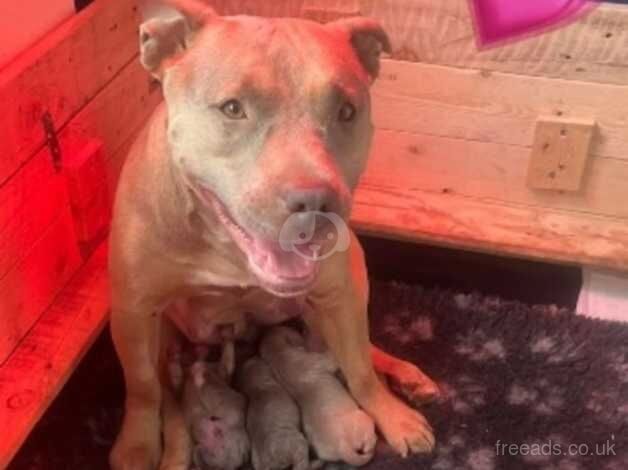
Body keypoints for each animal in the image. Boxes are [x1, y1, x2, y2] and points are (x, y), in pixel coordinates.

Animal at [262, 326, 378, 466]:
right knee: (368, 444)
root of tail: (341, 447)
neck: (277, 357)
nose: (300, 327)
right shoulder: (313, 360)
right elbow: (330, 358)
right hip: (363, 418)